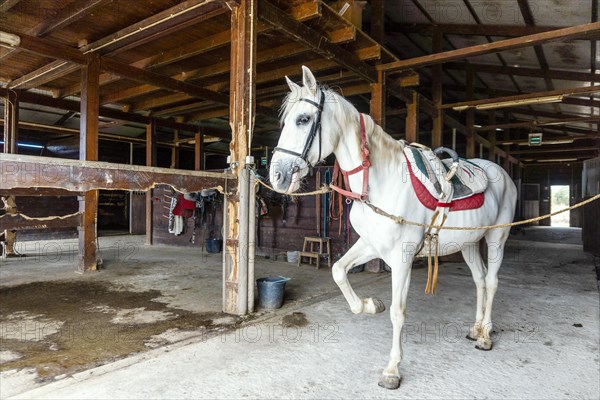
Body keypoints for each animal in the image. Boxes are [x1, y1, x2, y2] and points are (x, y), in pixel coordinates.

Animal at [270, 66, 516, 390]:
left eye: (303, 119)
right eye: (286, 121)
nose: (277, 176)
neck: (380, 182)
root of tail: (500, 173)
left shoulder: (402, 258)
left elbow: (398, 314)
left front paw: (392, 371)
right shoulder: (370, 244)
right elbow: (338, 271)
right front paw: (371, 304)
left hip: (497, 237)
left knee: (492, 281)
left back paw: (485, 335)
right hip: (469, 244)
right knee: (479, 280)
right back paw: (475, 329)